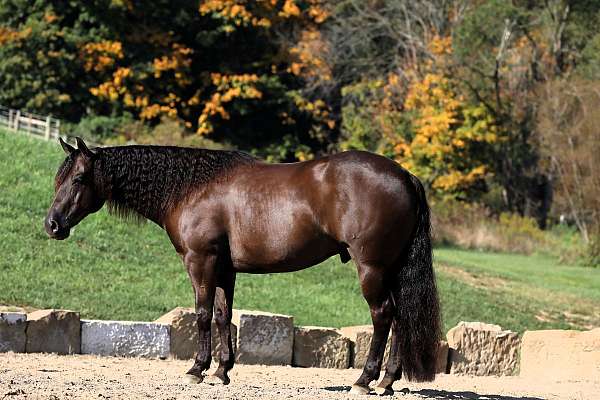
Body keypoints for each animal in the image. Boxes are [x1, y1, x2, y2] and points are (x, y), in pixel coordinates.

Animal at [45, 139, 440, 396]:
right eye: (57, 179)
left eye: (78, 179)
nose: (52, 225)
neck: (192, 188)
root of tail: (405, 176)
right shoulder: (225, 269)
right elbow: (223, 316)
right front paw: (221, 371)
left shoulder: (200, 261)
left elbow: (202, 314)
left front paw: (196, 370)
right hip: (392, 270)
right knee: (400, 317)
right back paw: (387, 381)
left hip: (371, 268)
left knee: (383, 315)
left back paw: (364, 381)